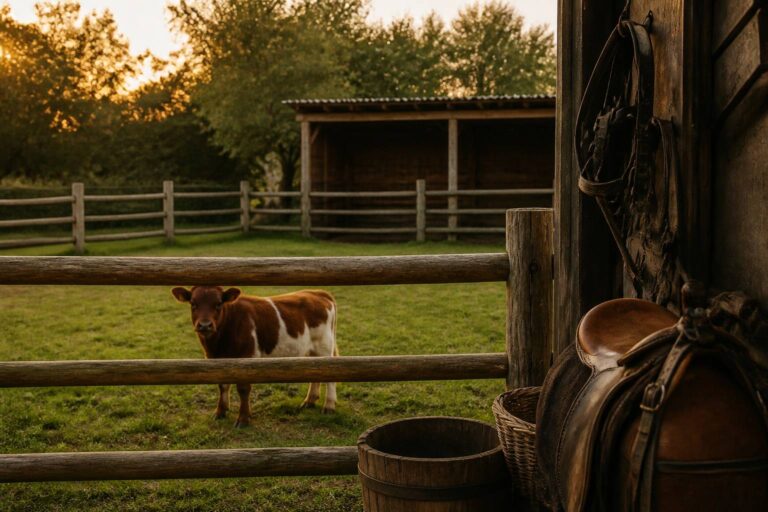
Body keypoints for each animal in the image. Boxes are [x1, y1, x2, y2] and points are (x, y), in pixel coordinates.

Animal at [171, 286, 338, 427]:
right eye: (193, 303)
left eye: (218, 303)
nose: (205, 325)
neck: (219, 345)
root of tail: (318, 293)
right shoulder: (217, 359)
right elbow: (222, 385)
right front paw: (220, 412)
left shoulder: (247, 356)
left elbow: (243, 389)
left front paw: (243, 419)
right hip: (313, 350)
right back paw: (310, 401)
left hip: (324, 346)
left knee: (330, 374)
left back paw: (329, 405)